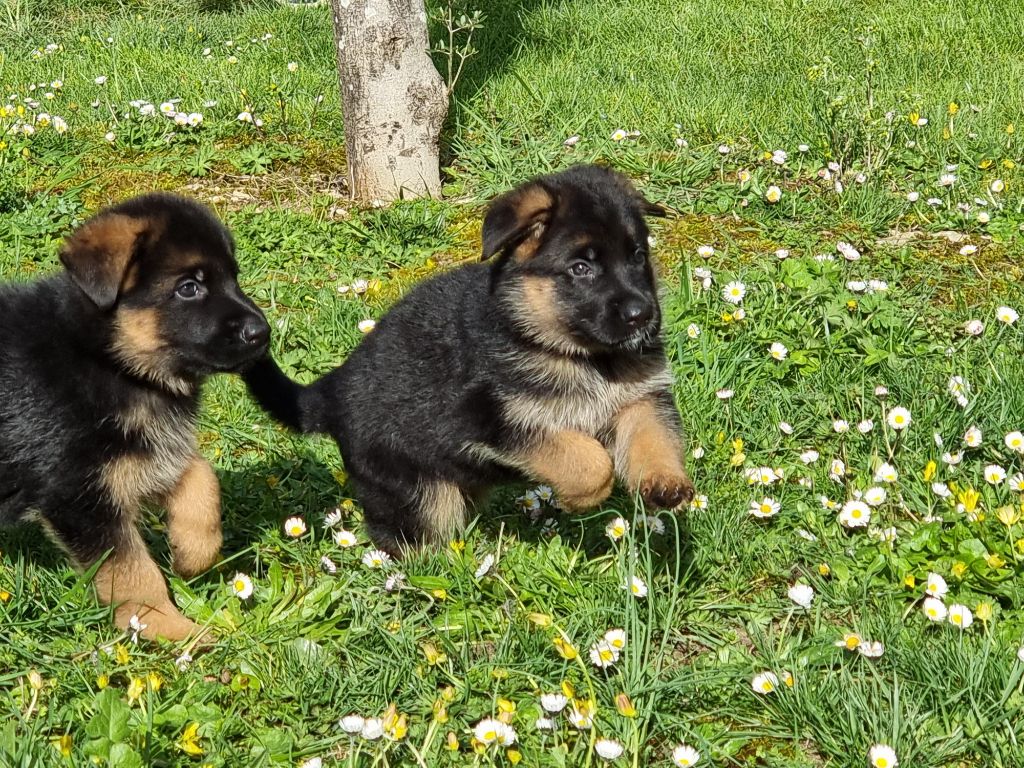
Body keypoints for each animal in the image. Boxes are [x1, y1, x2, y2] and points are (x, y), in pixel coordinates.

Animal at [0, 193, 270, 643]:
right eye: (189, 287)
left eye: (234, 277)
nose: (262, 333)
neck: (106, 358)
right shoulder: (78, 492)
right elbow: (132, 571)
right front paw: (166, 626)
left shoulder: (143, 454)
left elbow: (201, 477)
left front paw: (193, 552)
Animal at [246, 165, 696, 557]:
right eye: (581, 268)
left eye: (637, 255)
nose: (643, 316)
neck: (567, 351)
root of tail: (333, 391)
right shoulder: (491, 420)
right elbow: (589, 459)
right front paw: (586, 496)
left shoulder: (641, 397)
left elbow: (652, 436)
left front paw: (665, 483)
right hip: (415, 491)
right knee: (408, 538)